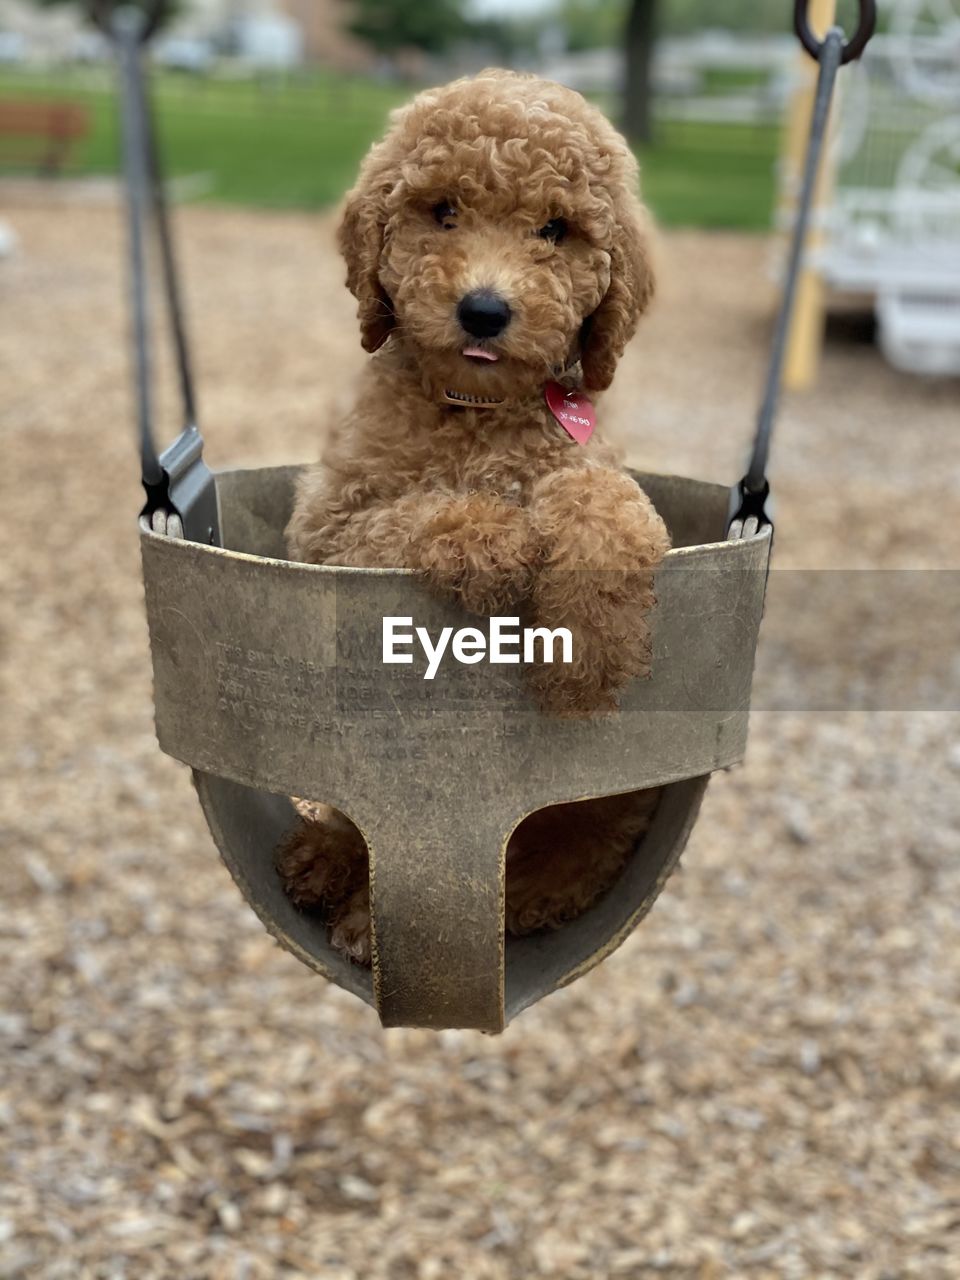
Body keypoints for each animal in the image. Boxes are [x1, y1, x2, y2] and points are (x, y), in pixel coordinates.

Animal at [276, 70, 670, 962]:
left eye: (555, 230)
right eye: (443, 211)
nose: (484, 311)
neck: (476, 411)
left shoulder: (591, 463)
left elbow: (609, 506)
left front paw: (584, 654)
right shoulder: (325, 526)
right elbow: (407, 515)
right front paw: (497, 538)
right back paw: (327, 869)